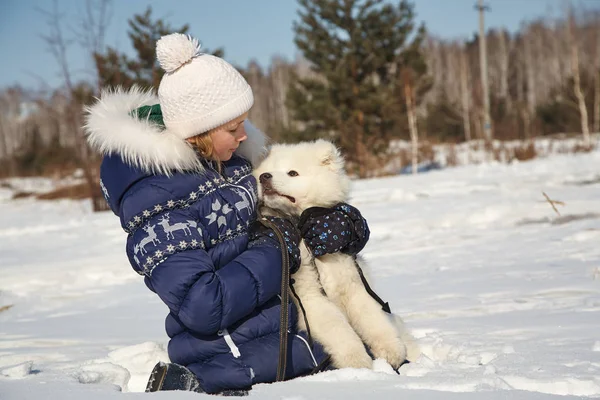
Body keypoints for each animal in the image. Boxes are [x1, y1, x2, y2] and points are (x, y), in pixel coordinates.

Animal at [253, 139, 418, 370]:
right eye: (265, 171)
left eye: (292, 173)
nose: (264, 177)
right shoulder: (310, 298)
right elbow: (340, 330)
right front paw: (358, 363)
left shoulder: (353, 285)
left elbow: (373, 318)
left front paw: (391, 351)